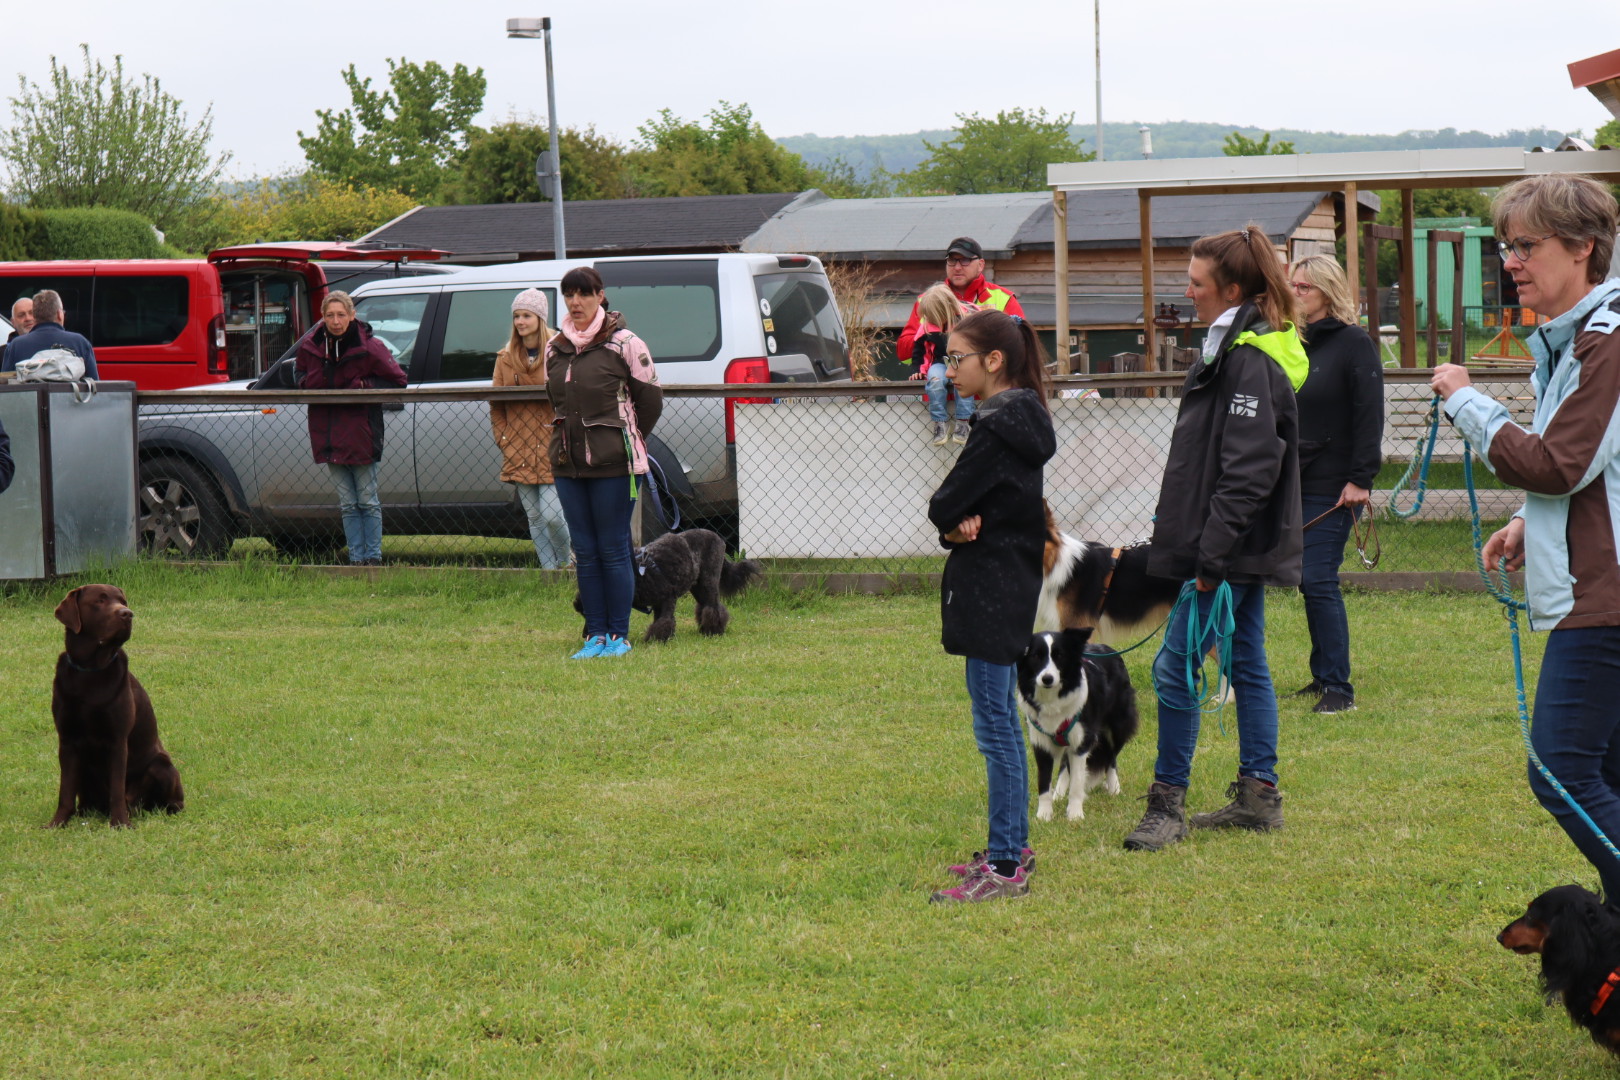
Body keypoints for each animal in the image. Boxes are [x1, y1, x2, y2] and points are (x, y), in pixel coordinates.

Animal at [576, 531, 764, 647]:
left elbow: (664, 622)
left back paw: (714, 630)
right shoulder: (658, 603)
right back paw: (705, 628)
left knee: (714, 607)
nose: (585, 635)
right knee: (704, 606)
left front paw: (656, 640)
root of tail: (717, 538)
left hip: (709, 581)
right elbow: (659, 621)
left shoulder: (668, 600)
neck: (640, 576)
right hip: (697, 586)